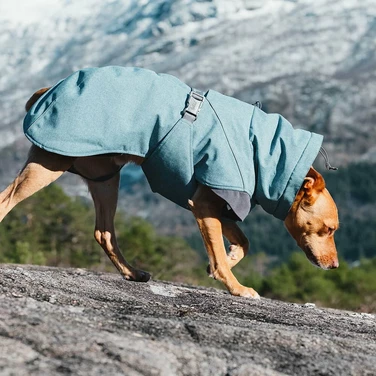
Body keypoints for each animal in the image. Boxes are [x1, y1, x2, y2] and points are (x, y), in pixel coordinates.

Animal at [0, 66, 338, 298]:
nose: (335, 266)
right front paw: (236, 286)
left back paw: (132, 273)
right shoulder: (207, 203)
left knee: (104, 232)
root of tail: (52, 86)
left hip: (105, 178)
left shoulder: (220, 201)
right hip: (50, 163)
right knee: (6, 200)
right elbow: (220, 255)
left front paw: (229, 258)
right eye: (329, 229)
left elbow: (243, 242)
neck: (260, 152)